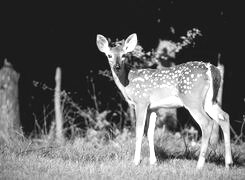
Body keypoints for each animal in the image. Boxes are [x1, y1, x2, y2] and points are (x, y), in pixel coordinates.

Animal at [96, 33, 234, 169]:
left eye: (124, 55)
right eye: (109, 55)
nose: (117, 66)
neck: (128, 83)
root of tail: (211, 68)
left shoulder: (141, 101)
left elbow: (139, 131)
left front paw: (136, 162)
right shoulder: (153, 108)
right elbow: (150, 133)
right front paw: (153, 162)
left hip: (192, 99)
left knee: (207, 122)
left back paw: (199, 165)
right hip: (210, 100)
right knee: (224, 116)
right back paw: (228, 163)